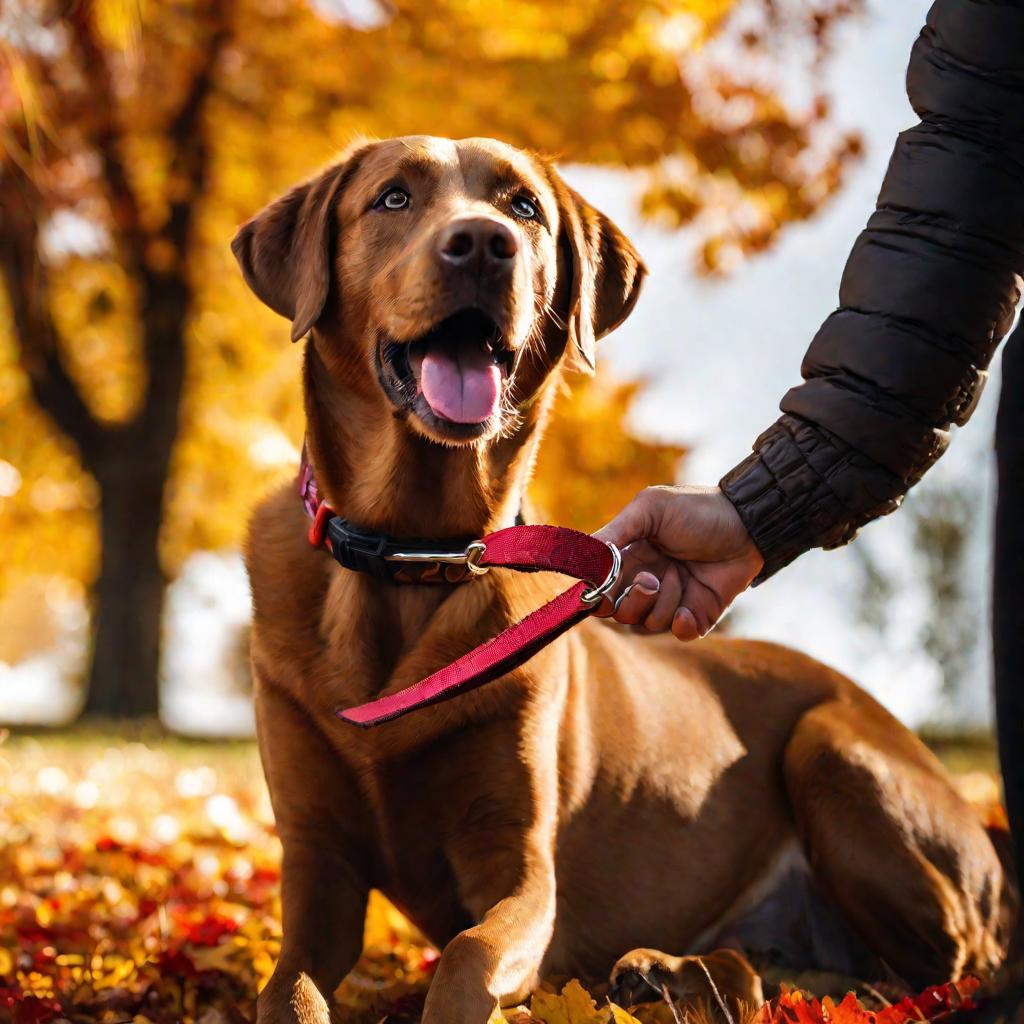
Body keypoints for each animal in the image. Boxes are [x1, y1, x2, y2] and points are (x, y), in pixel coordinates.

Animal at [234, 136, 1015, 1024]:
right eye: (393, 198)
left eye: (524, 208)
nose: (486, 244)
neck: (414, 556)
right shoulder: (316, 867)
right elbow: (290, 986)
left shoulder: (522, 873)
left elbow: (467, 955)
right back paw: (679, 970)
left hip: (833, 748)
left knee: (932, 974)